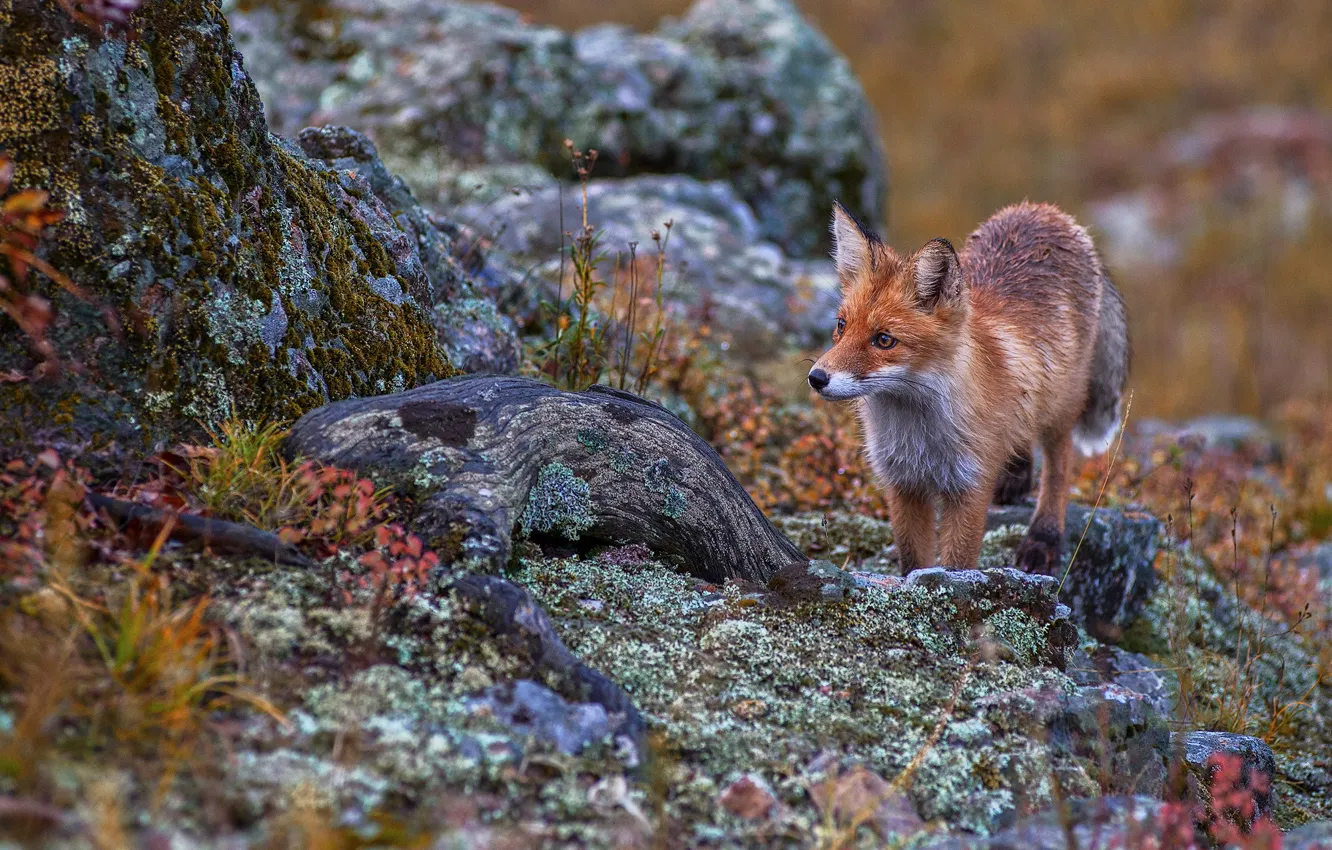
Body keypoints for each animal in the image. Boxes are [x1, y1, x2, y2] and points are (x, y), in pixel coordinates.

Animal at [804, 201, 1129, 575]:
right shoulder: (903, 483)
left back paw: (1044, 535)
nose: (817, 377)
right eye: (841, 326)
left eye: (884, 340)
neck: (920, 439)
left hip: (1063, 403)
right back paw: (1016, 474)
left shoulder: (969, 486)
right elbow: (912, 561)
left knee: (1059, 465)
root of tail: (1043, 209)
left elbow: (958, 563)